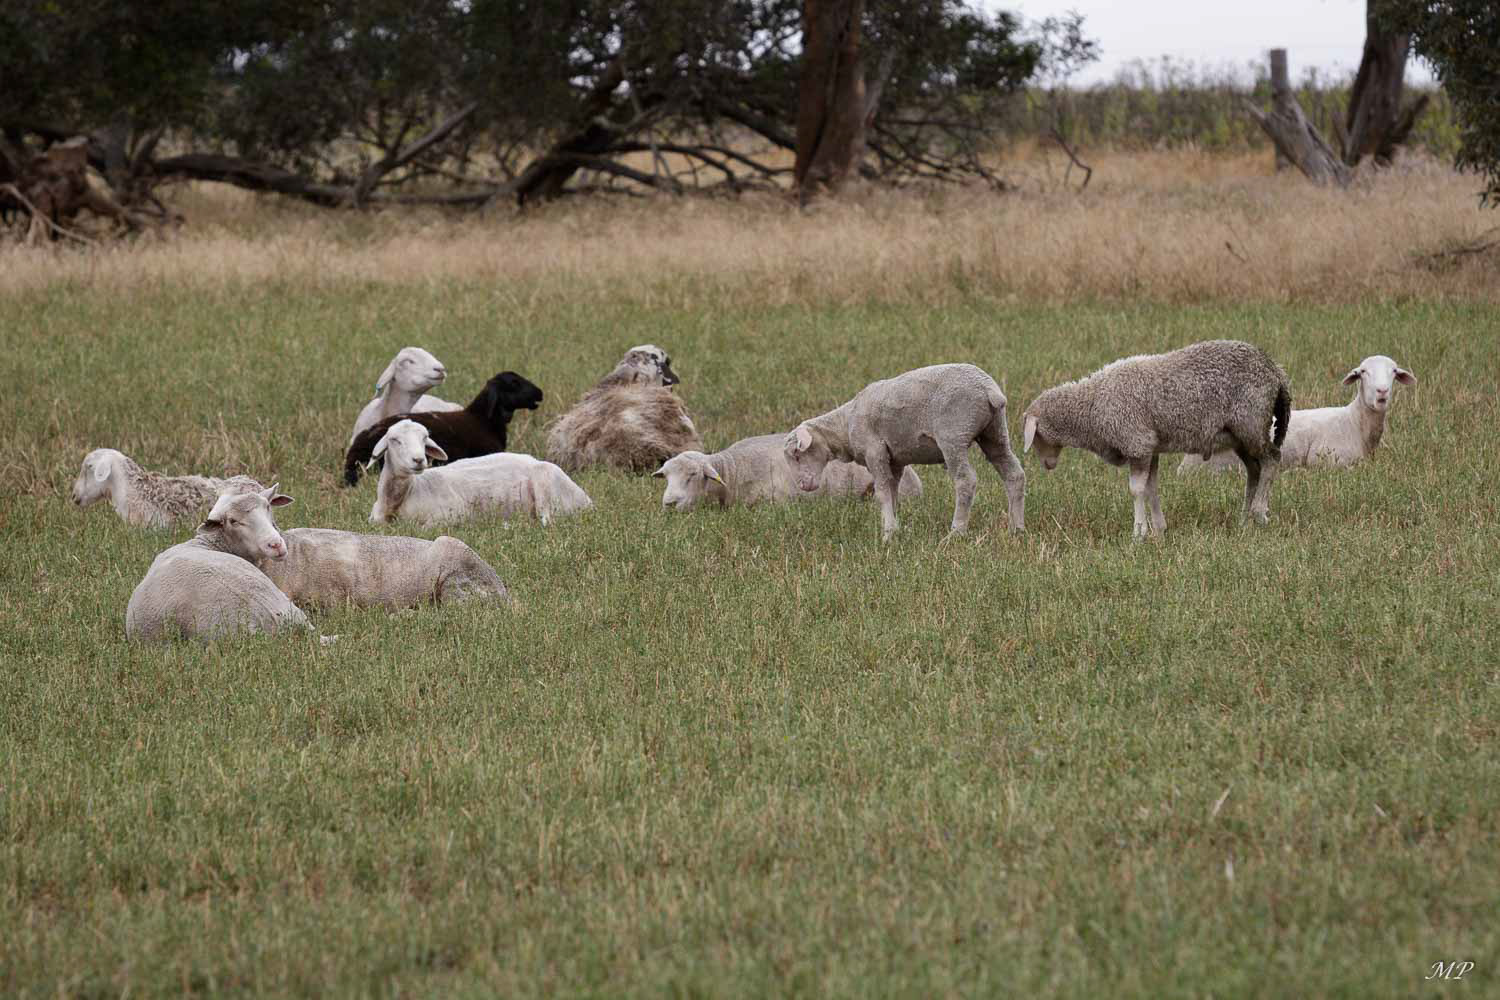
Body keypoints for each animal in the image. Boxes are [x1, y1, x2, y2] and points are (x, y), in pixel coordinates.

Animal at [369, 419, 592, 527]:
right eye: (395, 440)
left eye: (424, 438)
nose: (418, 460)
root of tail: (586, 500)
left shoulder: (453, 514)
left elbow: (422, 528)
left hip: (545, 480)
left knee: (546, 521)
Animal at [783, 364, 1026, 542]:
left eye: (797, 454)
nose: (803, 485)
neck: (845, 424)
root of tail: (990, 390)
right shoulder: (895, 461)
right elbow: (893, 492)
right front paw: (895, 527)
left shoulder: (875, 451)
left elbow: (881, 492)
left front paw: (887, 535)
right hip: (994, 432)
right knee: (1014, 474)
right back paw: (1017, 528)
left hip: (954, 435)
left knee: (966, 480)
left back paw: (956, 532)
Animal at [1021, 339, 1291, 539]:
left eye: (1036, 437)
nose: (1047, 465)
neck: (1092, 406)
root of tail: (1275, 370)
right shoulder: (1150, 448)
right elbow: (1151, 488)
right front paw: (1159, 530)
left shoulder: (1137, 443)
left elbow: (1137, 490)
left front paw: (1138, 533)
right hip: (1239, 436)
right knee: (1254, 469)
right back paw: (1244, 519)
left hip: (1251, 422)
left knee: (1272, 459)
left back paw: (1258, 512)